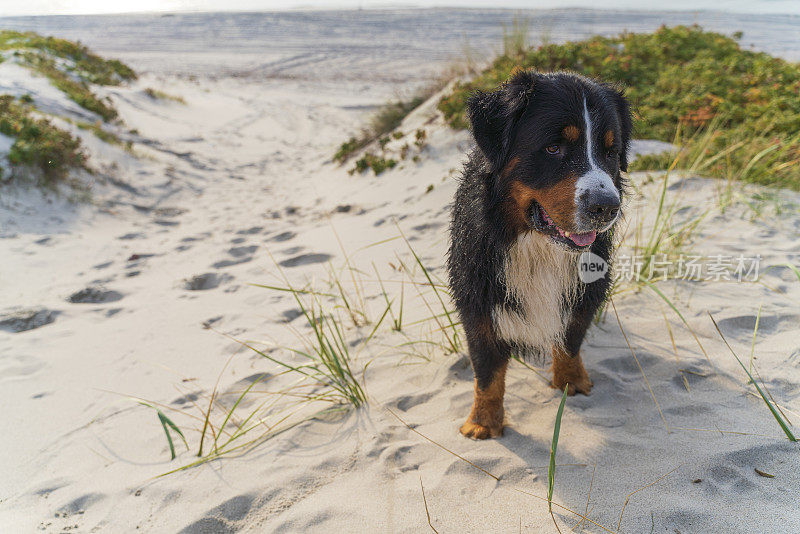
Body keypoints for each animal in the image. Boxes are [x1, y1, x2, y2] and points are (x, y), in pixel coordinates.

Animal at [446, 71, 628, 440]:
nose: (607, 207)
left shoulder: (586, 291)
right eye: (553, 147)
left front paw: (572, 383)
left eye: (611, 151)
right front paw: (483, 422)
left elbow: (570, 340)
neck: (538, 247)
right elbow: (487, 371)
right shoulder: (477, 298)